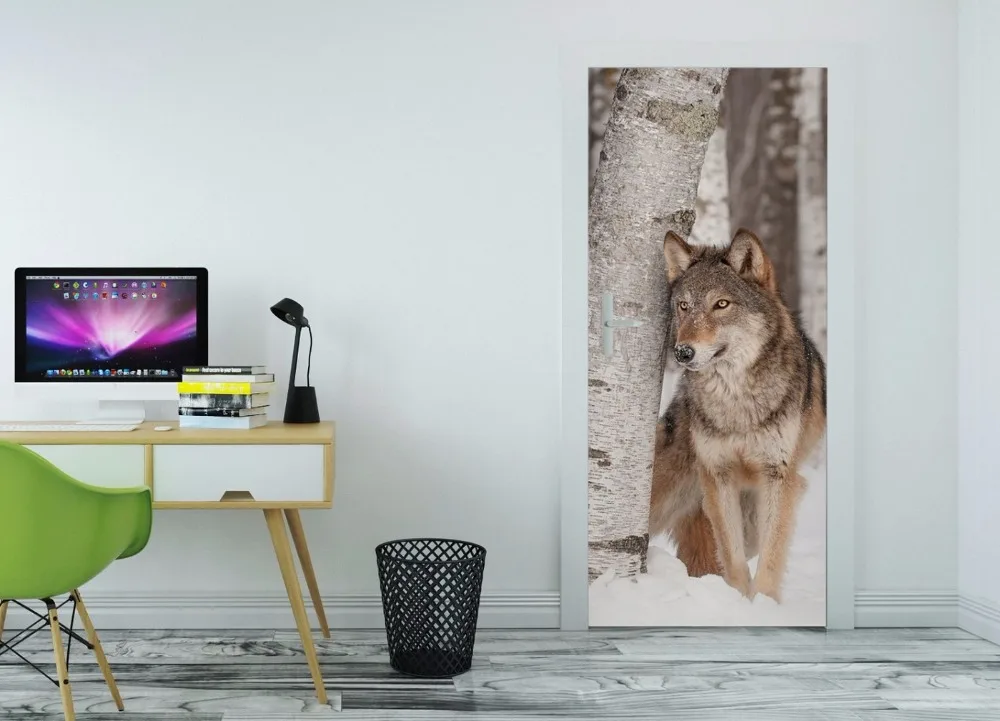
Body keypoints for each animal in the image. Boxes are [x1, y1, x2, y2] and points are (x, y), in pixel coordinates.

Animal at [648, 228, 826, 602]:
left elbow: (770, 558)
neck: (735, 401)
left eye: (721, 304)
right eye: (683, 306)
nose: (683, 352)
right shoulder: (718, 474)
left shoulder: (779, 477)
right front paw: (739, 599)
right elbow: (732, 556)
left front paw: (765, 605)